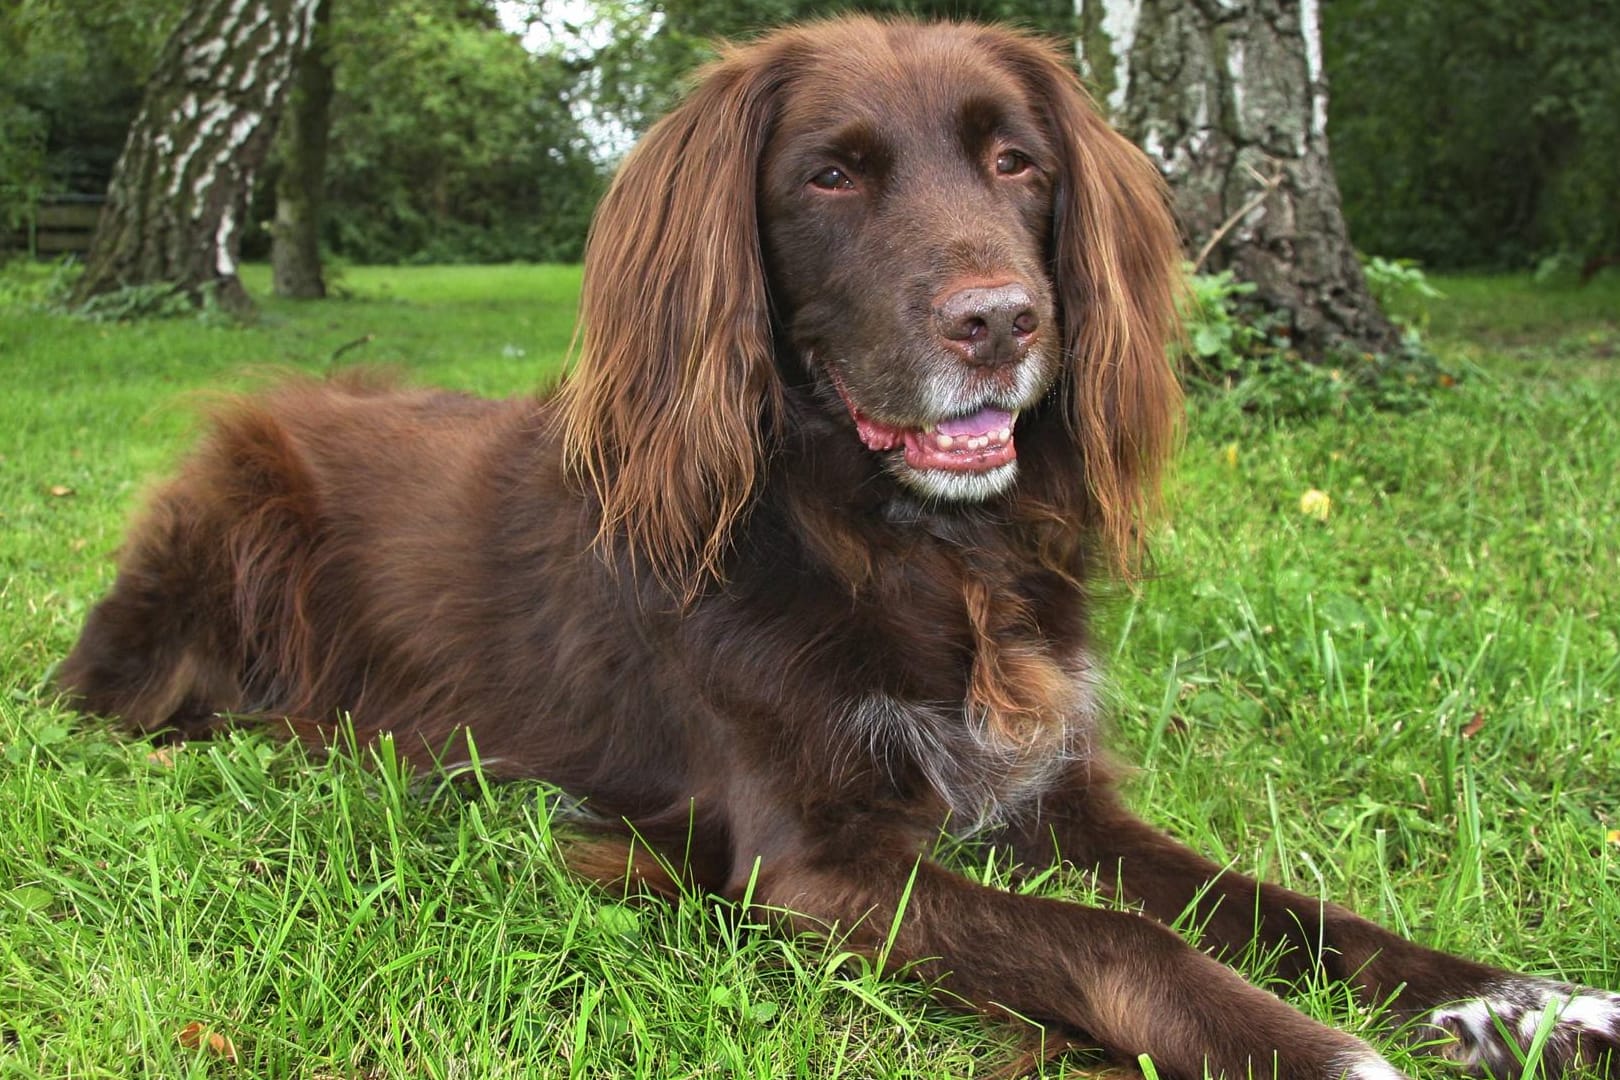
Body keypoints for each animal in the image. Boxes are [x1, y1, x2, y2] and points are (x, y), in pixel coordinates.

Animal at [57, 19, 1613, 1080]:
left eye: (1018, 161)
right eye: (830, 178)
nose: (1003, 322)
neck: (914, 553)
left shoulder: (1051, 795)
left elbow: (1281, 905)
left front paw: (1513, 999)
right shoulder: (810, 864)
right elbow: (1114, 938)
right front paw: (1315, 1051)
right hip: (216, 560)